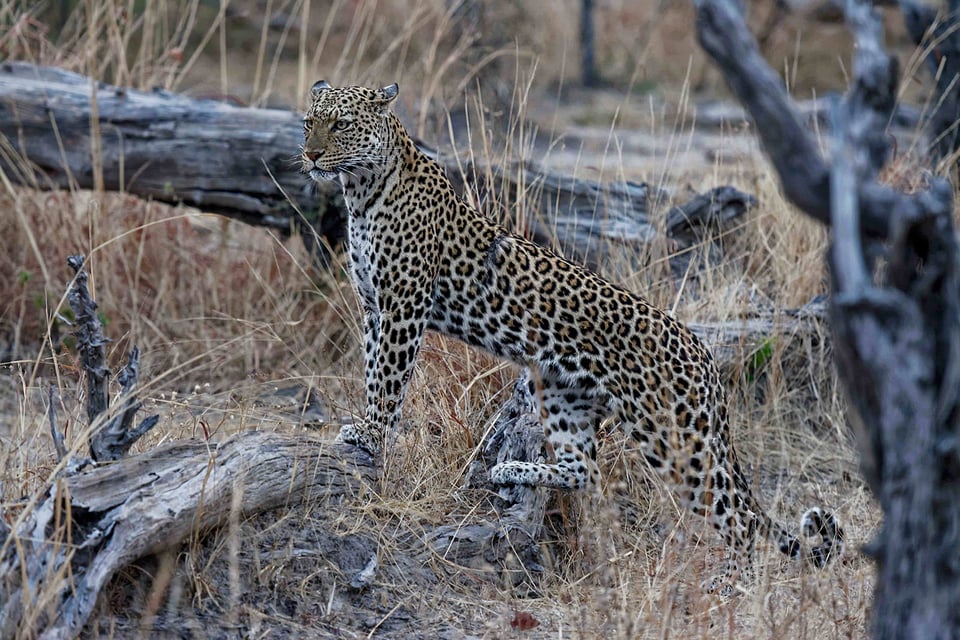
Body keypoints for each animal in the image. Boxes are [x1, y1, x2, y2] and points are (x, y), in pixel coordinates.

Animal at [302, 81, 848, 596]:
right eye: (309, 122)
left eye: (342, 124)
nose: (308, 155)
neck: (360, 191)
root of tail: (703, 354)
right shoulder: (373, 307)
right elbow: (371, 368)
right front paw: (367, 428)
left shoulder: (403, 306)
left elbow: (388, 379)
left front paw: (371, 434)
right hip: (561, 391)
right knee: (584, 468)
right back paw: (512, 471)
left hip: (675, 437)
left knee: (740, 519)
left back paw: (732, 583)